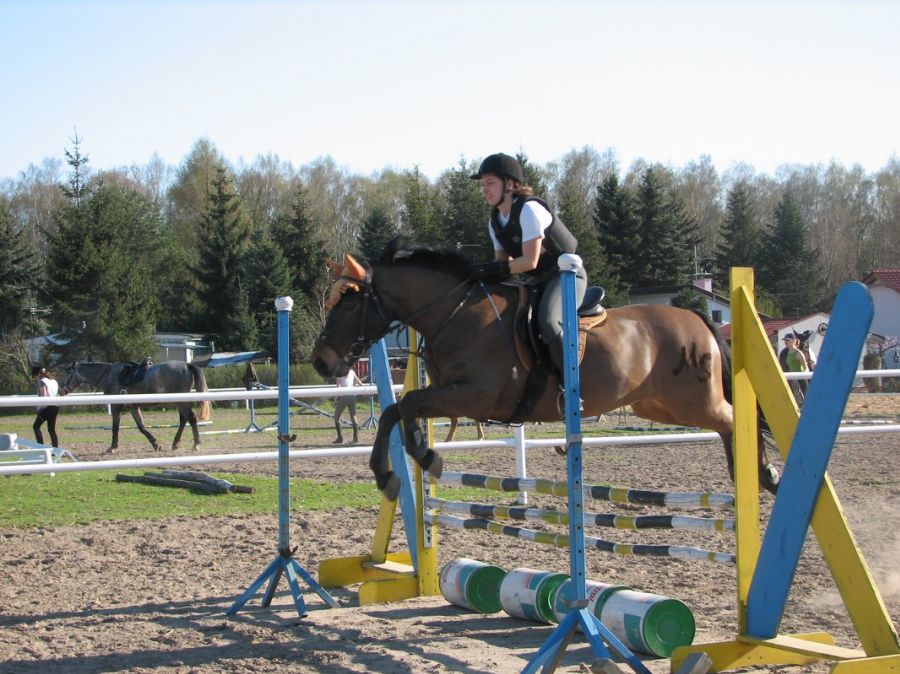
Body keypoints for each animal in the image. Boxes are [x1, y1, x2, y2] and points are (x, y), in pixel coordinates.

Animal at [62, 361, 212, 453]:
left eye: (68, 373)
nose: (61, 390)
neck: (110, 376)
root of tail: (187, 365)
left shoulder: (116, 408)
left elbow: (115, 428)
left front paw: (112, 447)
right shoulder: (133, 407)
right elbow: (142, 427)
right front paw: (155, 444)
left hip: (181, 402)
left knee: (191, 418)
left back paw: (195, 444)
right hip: (180, 402)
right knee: (183, 420)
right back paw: (175, 443)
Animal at [312, 243, 780, 501]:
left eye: (348, 304)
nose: (320, 361)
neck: (454, 313)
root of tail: (697, 316)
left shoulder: (475, 395)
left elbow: (405, 405)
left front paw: (413, 462)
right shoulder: (450, 394)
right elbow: (400, 411)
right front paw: (403, 465)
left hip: (690, 401)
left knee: (736, 420)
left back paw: (764, 474)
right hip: (656, 406)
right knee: (726, 424)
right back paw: (752, 476)